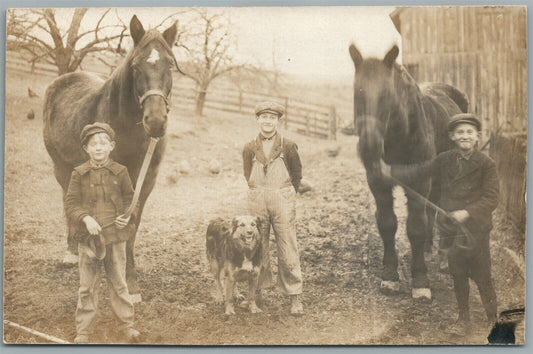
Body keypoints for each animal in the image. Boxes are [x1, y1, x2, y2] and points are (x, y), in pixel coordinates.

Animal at [43, 13, 179, 302]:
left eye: (171, 64)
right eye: (136, 66)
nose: (156, 122)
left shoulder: (146, 181)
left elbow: (131, 225)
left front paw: (131, 283)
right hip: (61, 167)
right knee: (68, 201)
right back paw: (72, 251)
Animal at [348, 43, 468, 298]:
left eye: (387, 95)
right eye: (357, 93)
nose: (370, 148)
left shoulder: (419, 182)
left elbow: (415, 227)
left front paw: (420, 280)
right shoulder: (378, 182)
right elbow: (387, 223)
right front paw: (390, 275)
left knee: (442, 211)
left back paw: (443, 257)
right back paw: (430, 248)